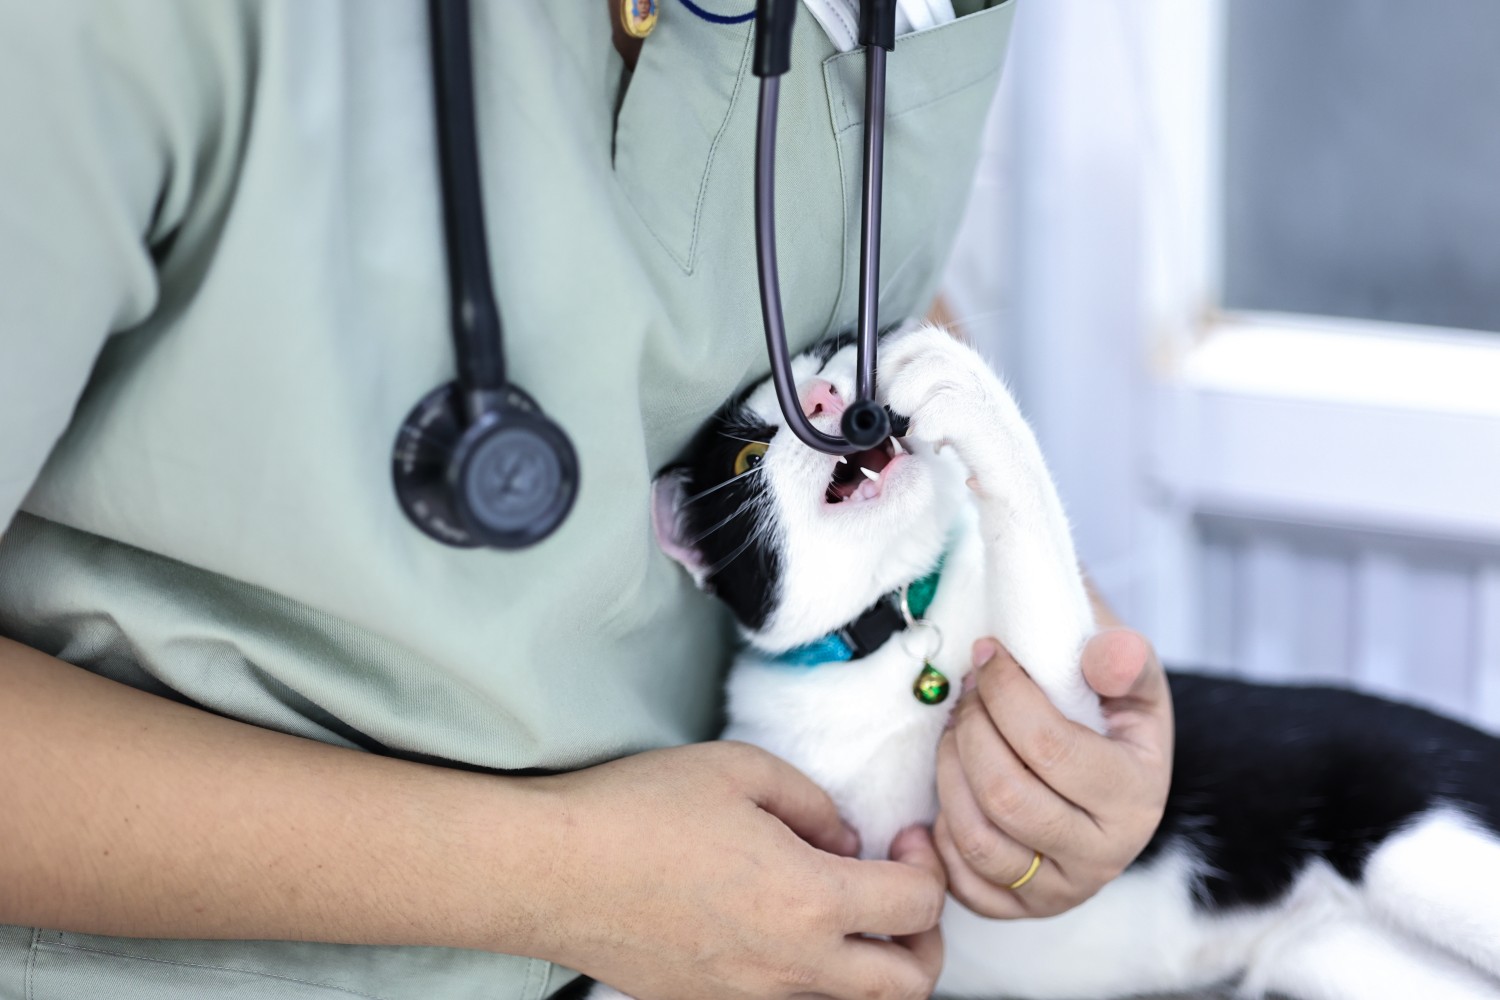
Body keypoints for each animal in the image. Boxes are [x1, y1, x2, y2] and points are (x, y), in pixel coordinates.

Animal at [591, 325, 1494, 995]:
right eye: (747, 460)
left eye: (834, 361)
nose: (821, 400)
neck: (901, 630)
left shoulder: (1067, 703)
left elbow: (1033, 536)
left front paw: (958, 380)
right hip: (1336, 959)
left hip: (1419, 846)